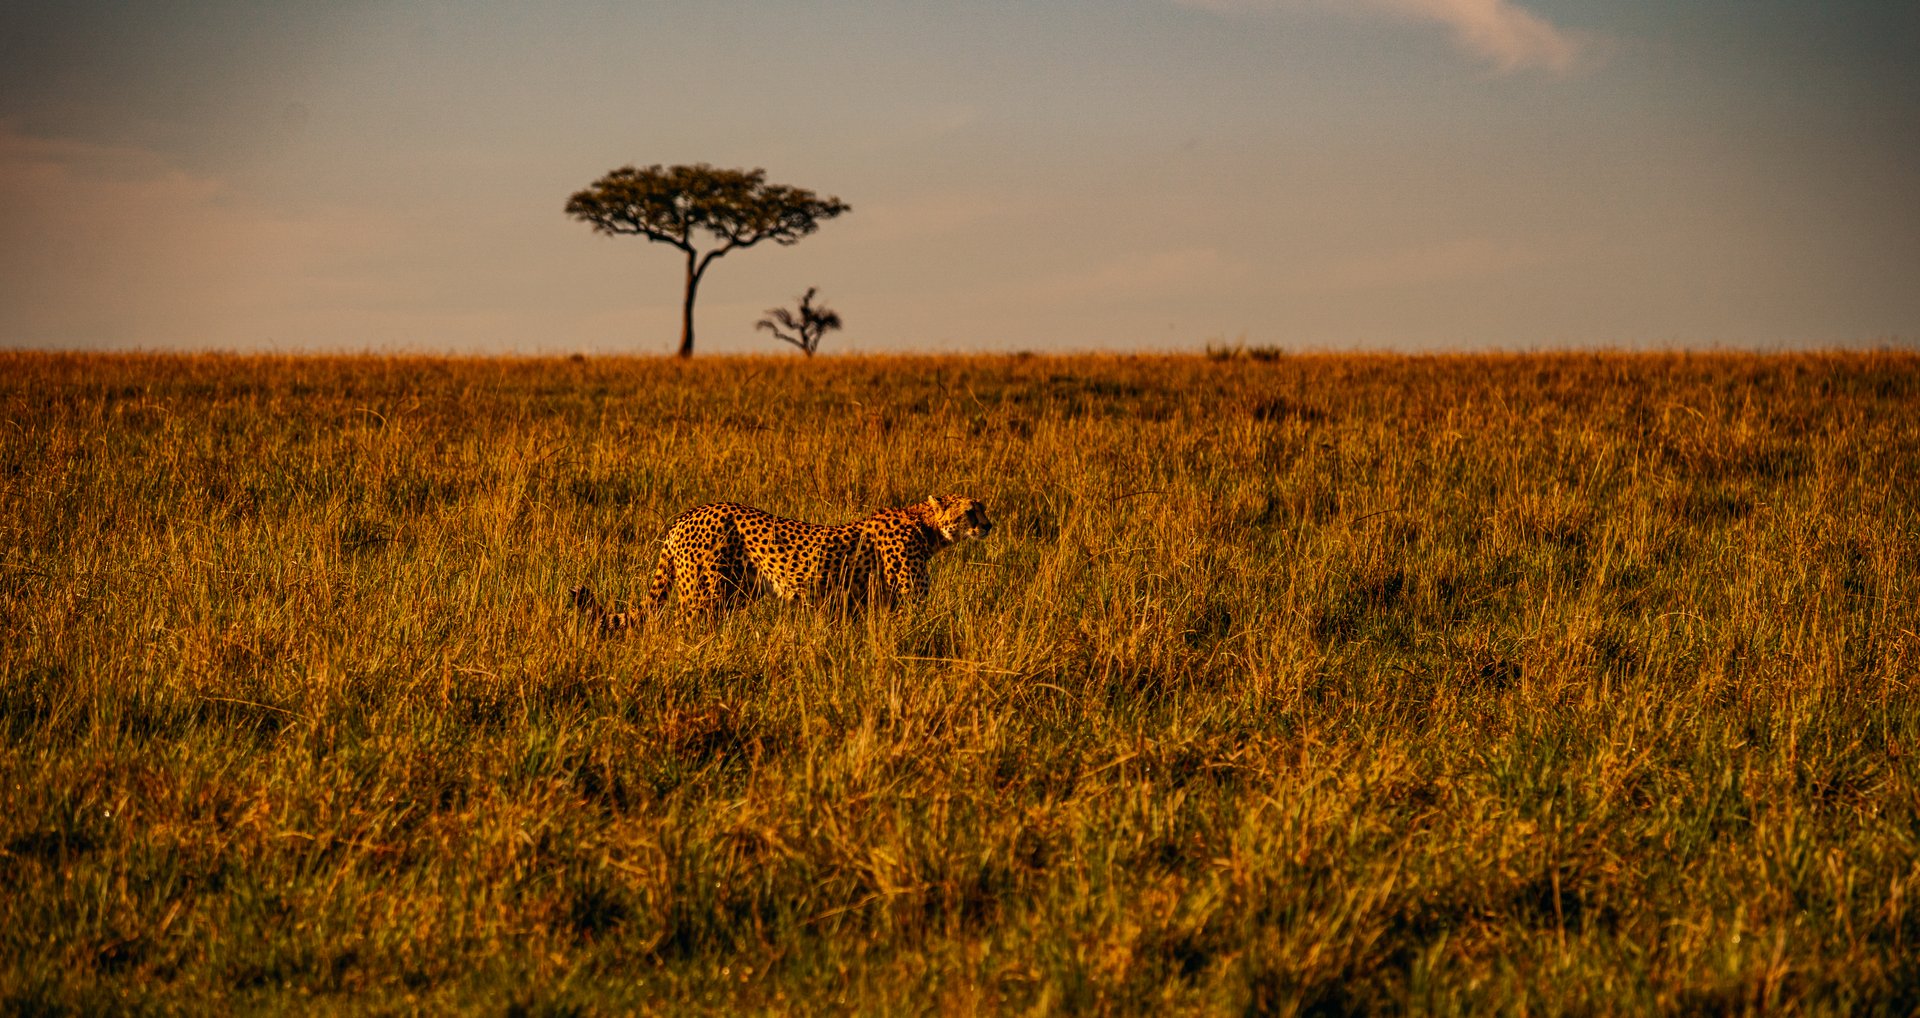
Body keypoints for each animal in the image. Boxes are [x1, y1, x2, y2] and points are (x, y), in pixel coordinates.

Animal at [571, 494, 992, 627]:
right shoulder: (908, 599)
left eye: (982, 508)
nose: (989, 524)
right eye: (971, 511)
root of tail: (688, 513)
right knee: (681, 625)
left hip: (734, 592)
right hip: (705, 592)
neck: (926, 525)